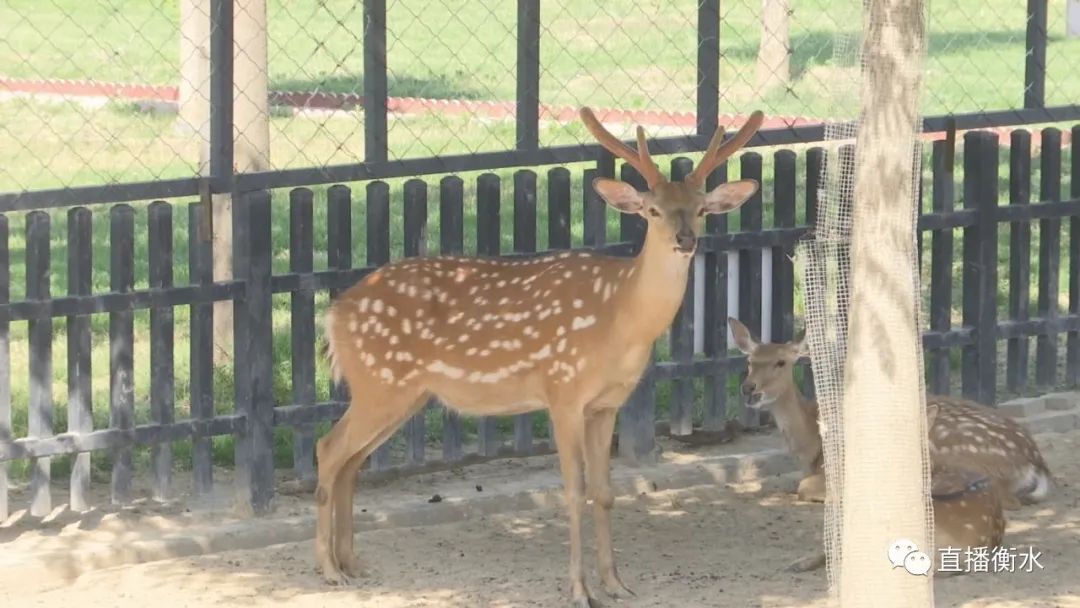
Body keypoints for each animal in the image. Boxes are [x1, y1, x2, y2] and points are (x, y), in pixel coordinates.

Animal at [315, 106, 764, 604]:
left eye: (701, 209)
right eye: (652, 210)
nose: (685, 239)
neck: (620, 319)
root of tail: (334, 314)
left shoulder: (607, 403)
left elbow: (605, 491)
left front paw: (616, 582)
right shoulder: (563, 390)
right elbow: (573, 491)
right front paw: (580, 589)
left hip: (400, 393)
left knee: (351, 461)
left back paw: (351, 563)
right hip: (380, 383)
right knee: (328, 449)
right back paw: (329, 570)